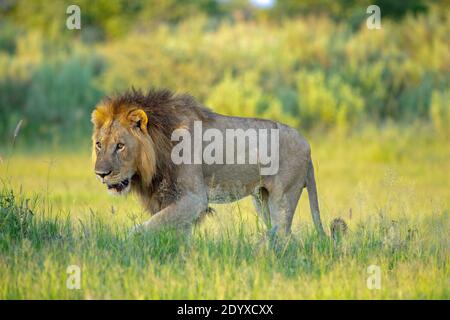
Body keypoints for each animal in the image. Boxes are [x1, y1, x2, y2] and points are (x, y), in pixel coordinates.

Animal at [90, 89, 344, 239]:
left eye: (120, 146)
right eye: (99, 145)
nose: (100, 174)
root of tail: (307, 144)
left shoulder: (194, 199)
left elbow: (146, 227)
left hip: (283, 197)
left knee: (284, 235)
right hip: (262, 199)